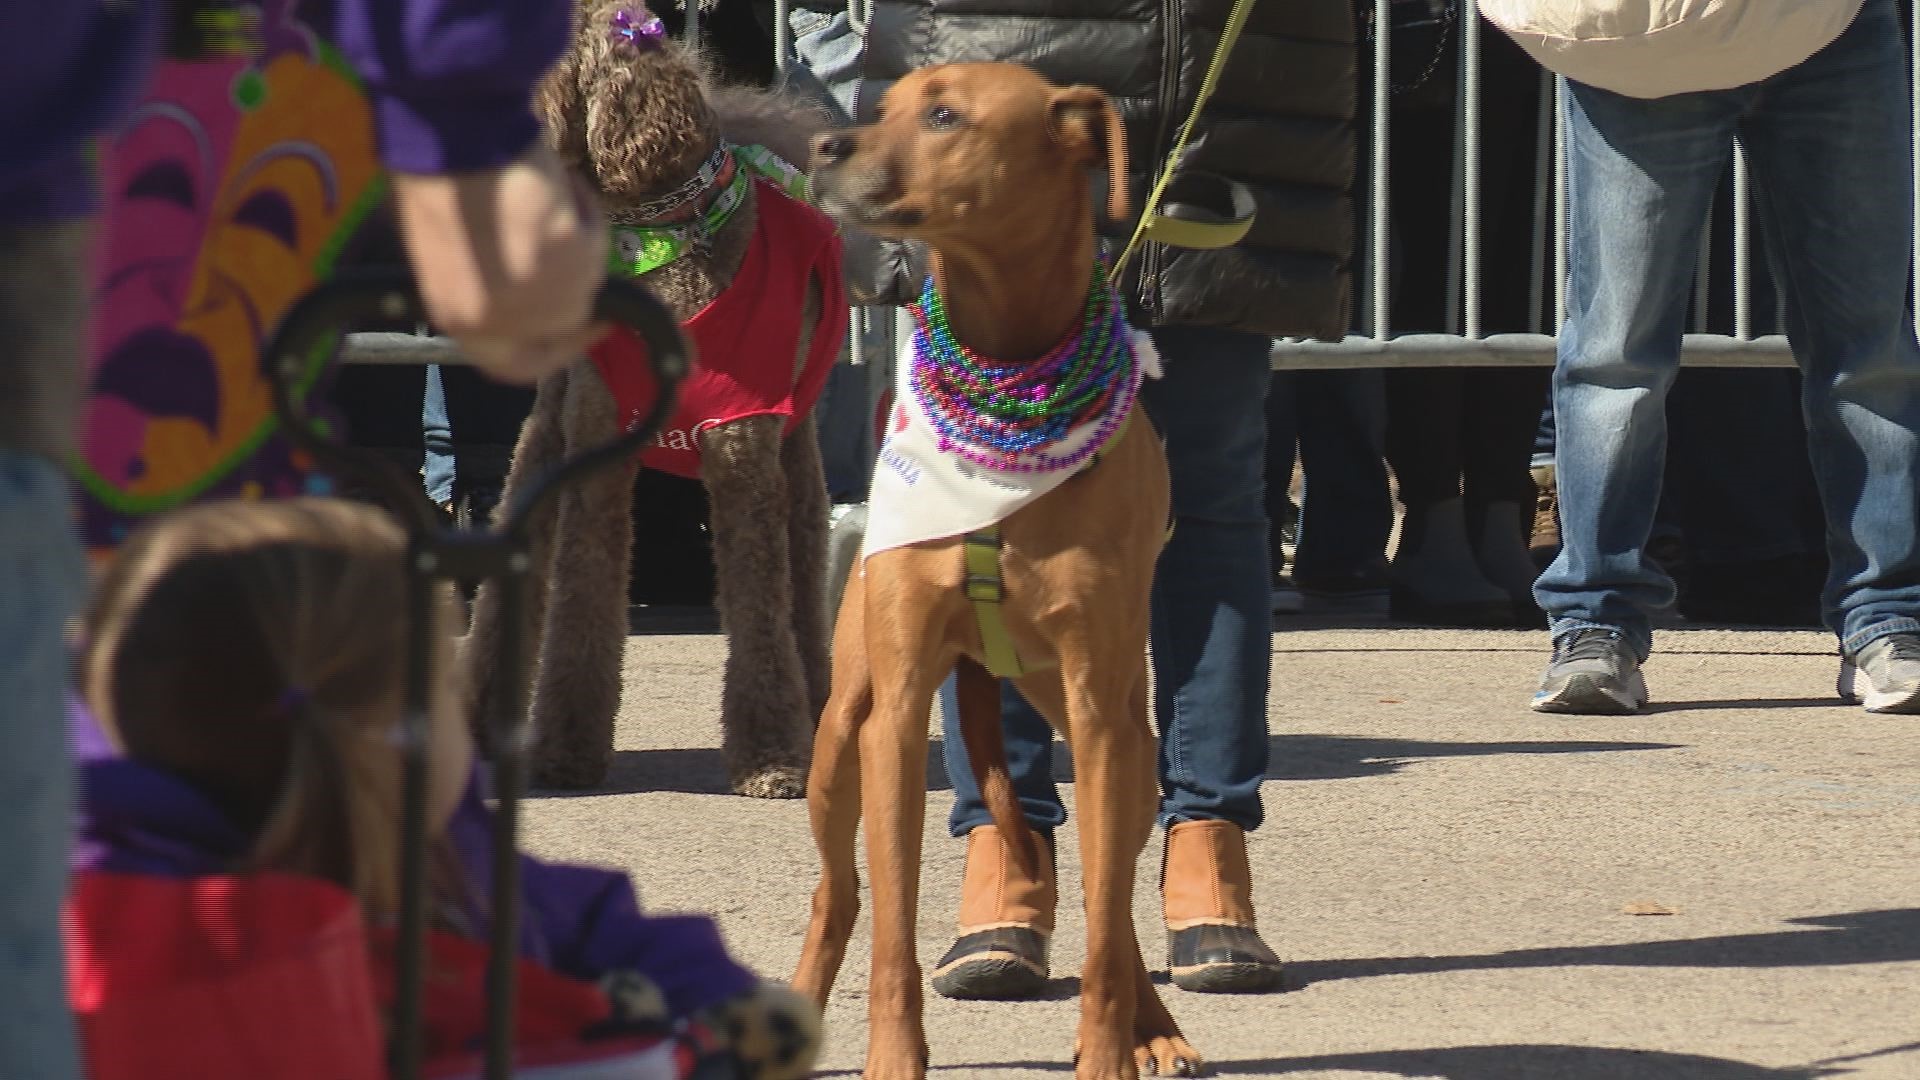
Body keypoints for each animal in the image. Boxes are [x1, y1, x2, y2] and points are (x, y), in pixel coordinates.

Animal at [460, 0, 844, 791]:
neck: (663, 243)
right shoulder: (595, 452)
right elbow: (581, 602)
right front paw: (564, 751)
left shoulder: (743, 449)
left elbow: (762, 610)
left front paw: (772, 756)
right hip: (545, 437)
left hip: (796, 452)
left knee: (801, 582)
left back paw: (818, 711)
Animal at [787, 67, 1190, 1076]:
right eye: (885, 101)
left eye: (943, 115)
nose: (822, 145)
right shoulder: (893, 718)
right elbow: (892, 930)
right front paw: (894, 1057)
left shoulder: (1098, 713)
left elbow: (1105, 928)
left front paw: (1107, 1052)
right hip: (836, 739)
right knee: (838, 894)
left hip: (1129, 747)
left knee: (1113, 906)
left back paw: (1155, 1028)